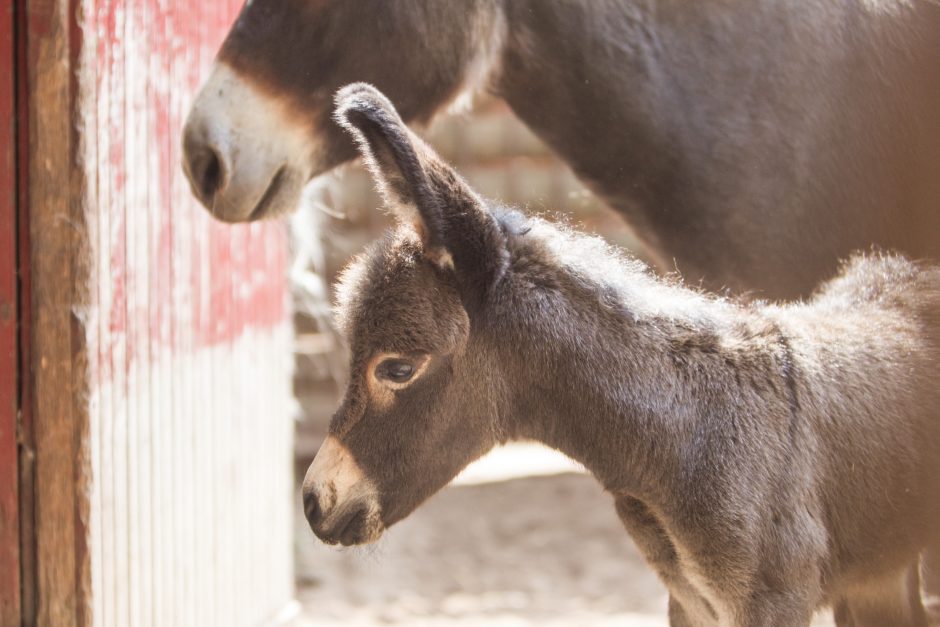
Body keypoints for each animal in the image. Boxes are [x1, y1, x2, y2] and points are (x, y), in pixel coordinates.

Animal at [302, 84, 940, 627]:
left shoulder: (774, 600)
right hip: (881, 571)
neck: (683, 439)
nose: (311, 502)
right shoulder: (691, 603)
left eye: (398, 368)